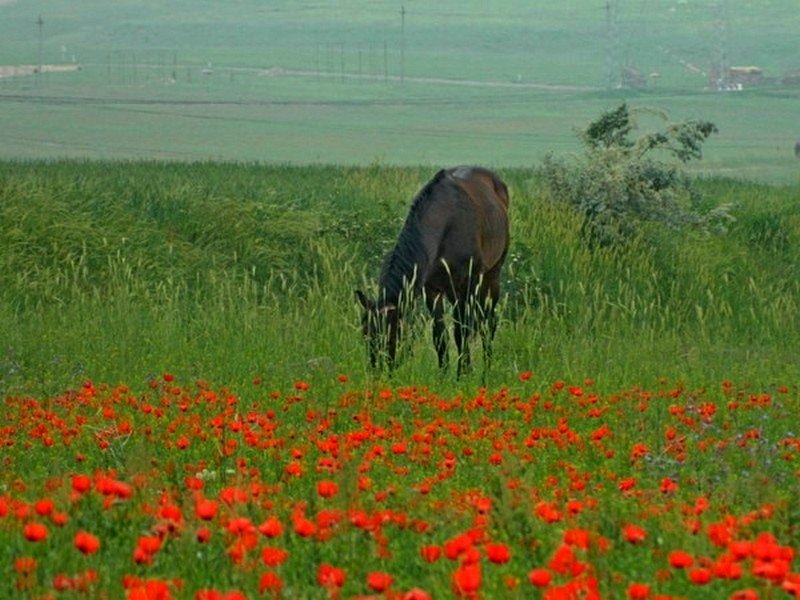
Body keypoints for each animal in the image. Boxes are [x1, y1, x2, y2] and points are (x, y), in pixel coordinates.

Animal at [358, 165, 512, 376]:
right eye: (366, 333)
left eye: (391, 333)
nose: (376, 371)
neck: (446, 224)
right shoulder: (432, 291)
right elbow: (439, 335)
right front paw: (444, 373)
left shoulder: (466, 286)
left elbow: (462, 331)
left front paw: (463, 373)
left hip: (491, 276)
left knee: (488, 322)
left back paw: (487, 367)